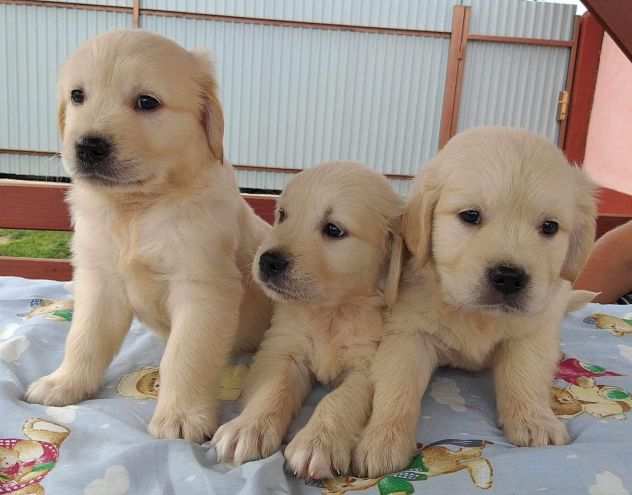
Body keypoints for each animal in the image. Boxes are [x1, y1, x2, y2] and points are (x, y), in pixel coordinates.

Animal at [25, 30, 272, 442]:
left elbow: (184, 357)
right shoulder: (99, 280)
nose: (88, 146)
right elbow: (84, 338)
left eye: (146, 102)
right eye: (77, 95)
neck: (137, 209)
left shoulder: (202, 287)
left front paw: (182, 415)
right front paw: (65, 382)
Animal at [210, 161, 402, 478]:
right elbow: (273, 388)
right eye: (282, 215)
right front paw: (248, 427)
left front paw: (317, 442)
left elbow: (338, 400)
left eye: (333, 229)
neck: (330, 312)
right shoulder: (282, 349)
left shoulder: (366, 364)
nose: (268, 261)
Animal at [356, 130, 596, 478]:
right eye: (470, 216)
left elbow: (525, 376)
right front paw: (383, 438)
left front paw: (533, 420)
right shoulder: (408, 334)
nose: (509, 277)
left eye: (549, 227)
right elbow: (398, 386)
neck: (475, 313)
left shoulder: (531, 332)